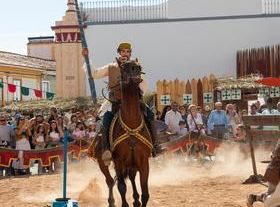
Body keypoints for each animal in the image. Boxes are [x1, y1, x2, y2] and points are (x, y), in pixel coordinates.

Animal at [90, 60, 153, 207]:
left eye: (139, 66)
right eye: (123, 67)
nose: (136, 69)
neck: (131, 124)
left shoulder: (143, 162)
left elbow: (145, 193)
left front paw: (138, 199)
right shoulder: (118, 161)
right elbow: (121, 187)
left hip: (131, 164)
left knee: (131, 178)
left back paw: (135, 199)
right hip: (103, 163)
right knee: (110, 181)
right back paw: (111, 202)